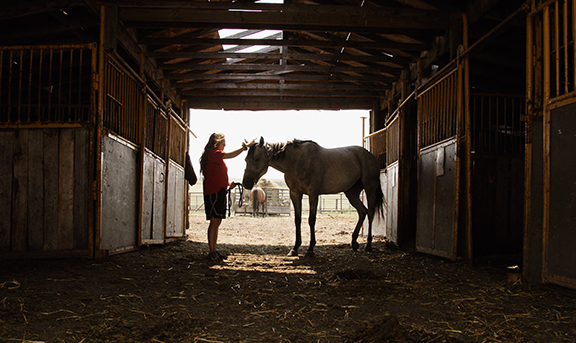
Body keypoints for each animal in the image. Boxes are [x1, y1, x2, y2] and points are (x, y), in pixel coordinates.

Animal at [241, 138, 384, 256]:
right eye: (246, 160)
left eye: (257, 159)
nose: (246, 183)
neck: (297, 161)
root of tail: (370, 156)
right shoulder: (295, 193)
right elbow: (297, 220)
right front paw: (295, 248)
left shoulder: (313, 194)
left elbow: (311, 220)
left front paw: (310, 249)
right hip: (352, 193)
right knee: (362, 212)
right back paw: (354, 242)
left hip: (370, 189)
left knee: (370, 213)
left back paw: (368, 245)